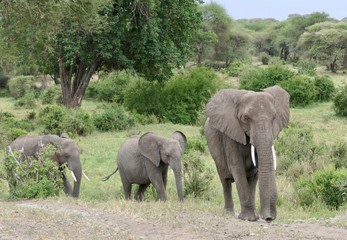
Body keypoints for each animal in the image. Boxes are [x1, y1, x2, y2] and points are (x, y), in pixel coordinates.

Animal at [205, 85, 290, 222]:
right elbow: (237, 167)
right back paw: (229, 212)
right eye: (246, 118)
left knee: (252, 180)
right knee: (225, 182)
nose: (268, 218)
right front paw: (248, 219)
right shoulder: (231, 134)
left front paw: (257, 217)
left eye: (274, 118)